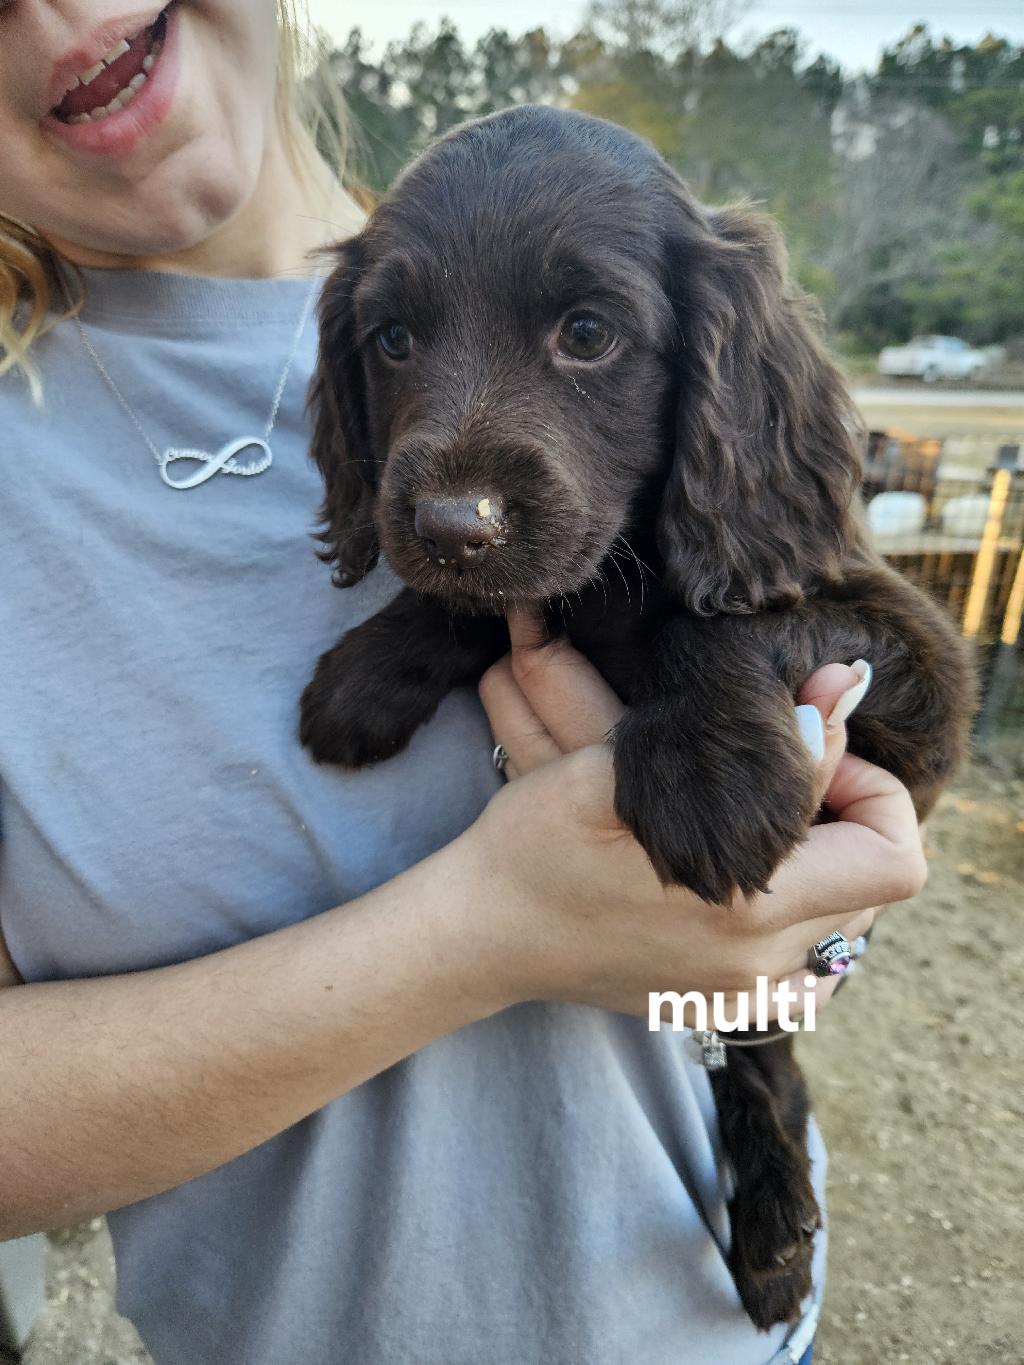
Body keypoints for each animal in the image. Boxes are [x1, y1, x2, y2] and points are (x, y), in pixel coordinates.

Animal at [299, 109, 977, 1332]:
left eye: (587, 333)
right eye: (392, 340)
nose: (450, 525)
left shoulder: (921, 670)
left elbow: (713, 617)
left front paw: (707, 771)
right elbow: (501, 604)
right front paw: (368, 673)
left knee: (767, 1068)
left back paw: (774, 1233)